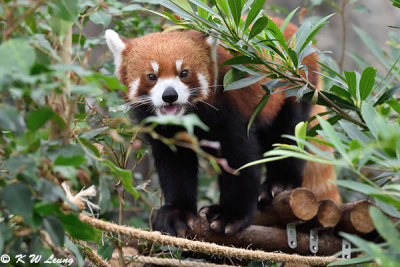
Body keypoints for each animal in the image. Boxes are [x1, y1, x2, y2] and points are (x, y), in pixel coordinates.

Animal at [104, 17, 340, 237]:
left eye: (184, 73)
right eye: (151, 76)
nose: (169, 95)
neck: (188, 116)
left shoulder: (229, 108)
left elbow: (241, 158)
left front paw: (232, 215)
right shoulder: (165, 131)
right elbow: (175, 167)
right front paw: (178, 212)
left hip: (292, 90)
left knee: (287, 135)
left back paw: (279, 184)